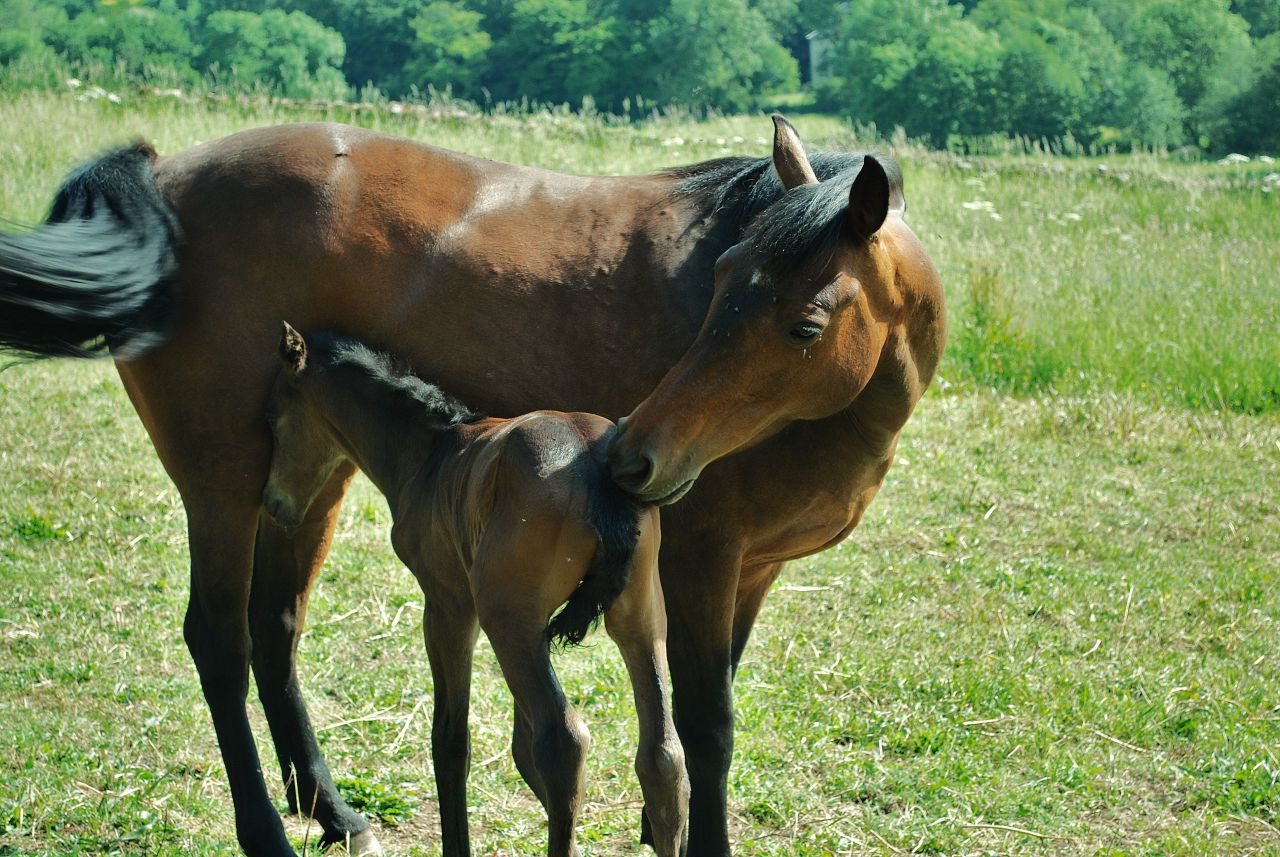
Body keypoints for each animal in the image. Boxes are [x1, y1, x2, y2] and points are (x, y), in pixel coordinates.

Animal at [262, 323, 687, 857]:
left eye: (275, 419)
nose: (273, 504)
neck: (430, 453)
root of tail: (595, 470)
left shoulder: (448, 605)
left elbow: (451, 739)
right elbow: (518, 743)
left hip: (509, 620)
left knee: (563, 741)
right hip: (641, 617)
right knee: (663, 755)